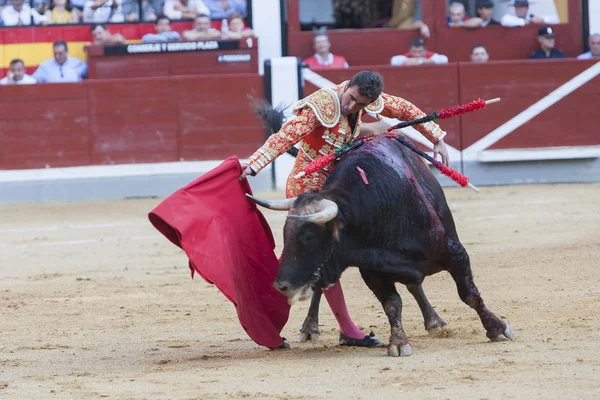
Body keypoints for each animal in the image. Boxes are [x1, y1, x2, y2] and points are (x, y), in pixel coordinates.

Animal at [246, 135, 512, 356]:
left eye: (310, 237)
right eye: (286, 235)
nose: (281, 285)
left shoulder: (455, 253)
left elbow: (468, 294)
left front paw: (497, 328)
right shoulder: (373, 272)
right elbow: (392, 304)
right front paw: (399, 343)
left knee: (416, 287)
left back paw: (434, 322)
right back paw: (311, 328)